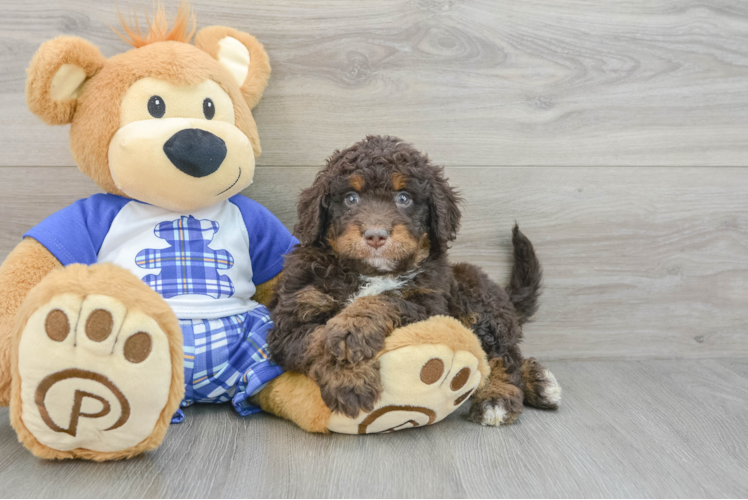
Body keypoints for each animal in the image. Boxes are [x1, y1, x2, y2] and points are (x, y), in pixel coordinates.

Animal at [268, 136, 560, 422]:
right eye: (350, 198)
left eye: (404, 198)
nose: (376, 235)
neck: (371, 272)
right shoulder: (292, 319)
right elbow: (316, 339)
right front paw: (350, 378)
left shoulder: (428, 305)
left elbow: (386, 299)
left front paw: (351, 331)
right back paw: (539, 383)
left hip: (475, 296)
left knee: (502, 355)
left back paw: (500, 397)